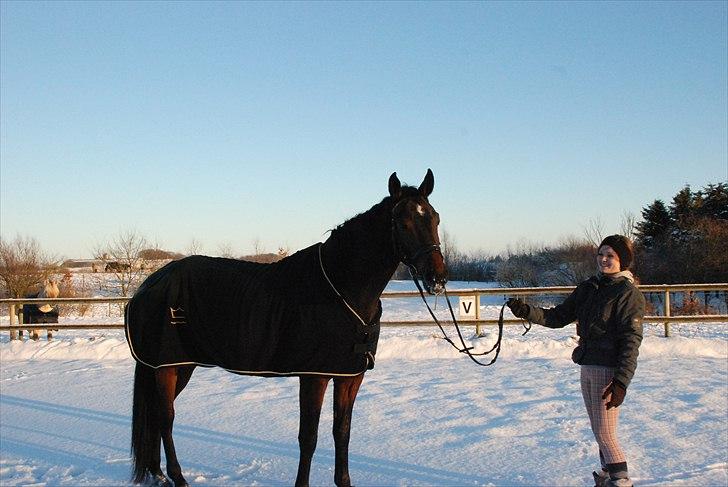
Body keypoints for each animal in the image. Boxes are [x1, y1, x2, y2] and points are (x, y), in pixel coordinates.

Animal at [126, 170, 450, 486]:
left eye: (435, 218)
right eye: (403, 222)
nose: (437, 279)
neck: (342, 287)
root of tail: (150, 284)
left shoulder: (349, 376)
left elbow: (342, 433)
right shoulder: (314, 376)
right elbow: (309, 438)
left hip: (180, 365)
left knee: (157, 415)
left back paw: (158, 474)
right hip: (168, 366)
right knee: (166, 418)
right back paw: (177, 478)